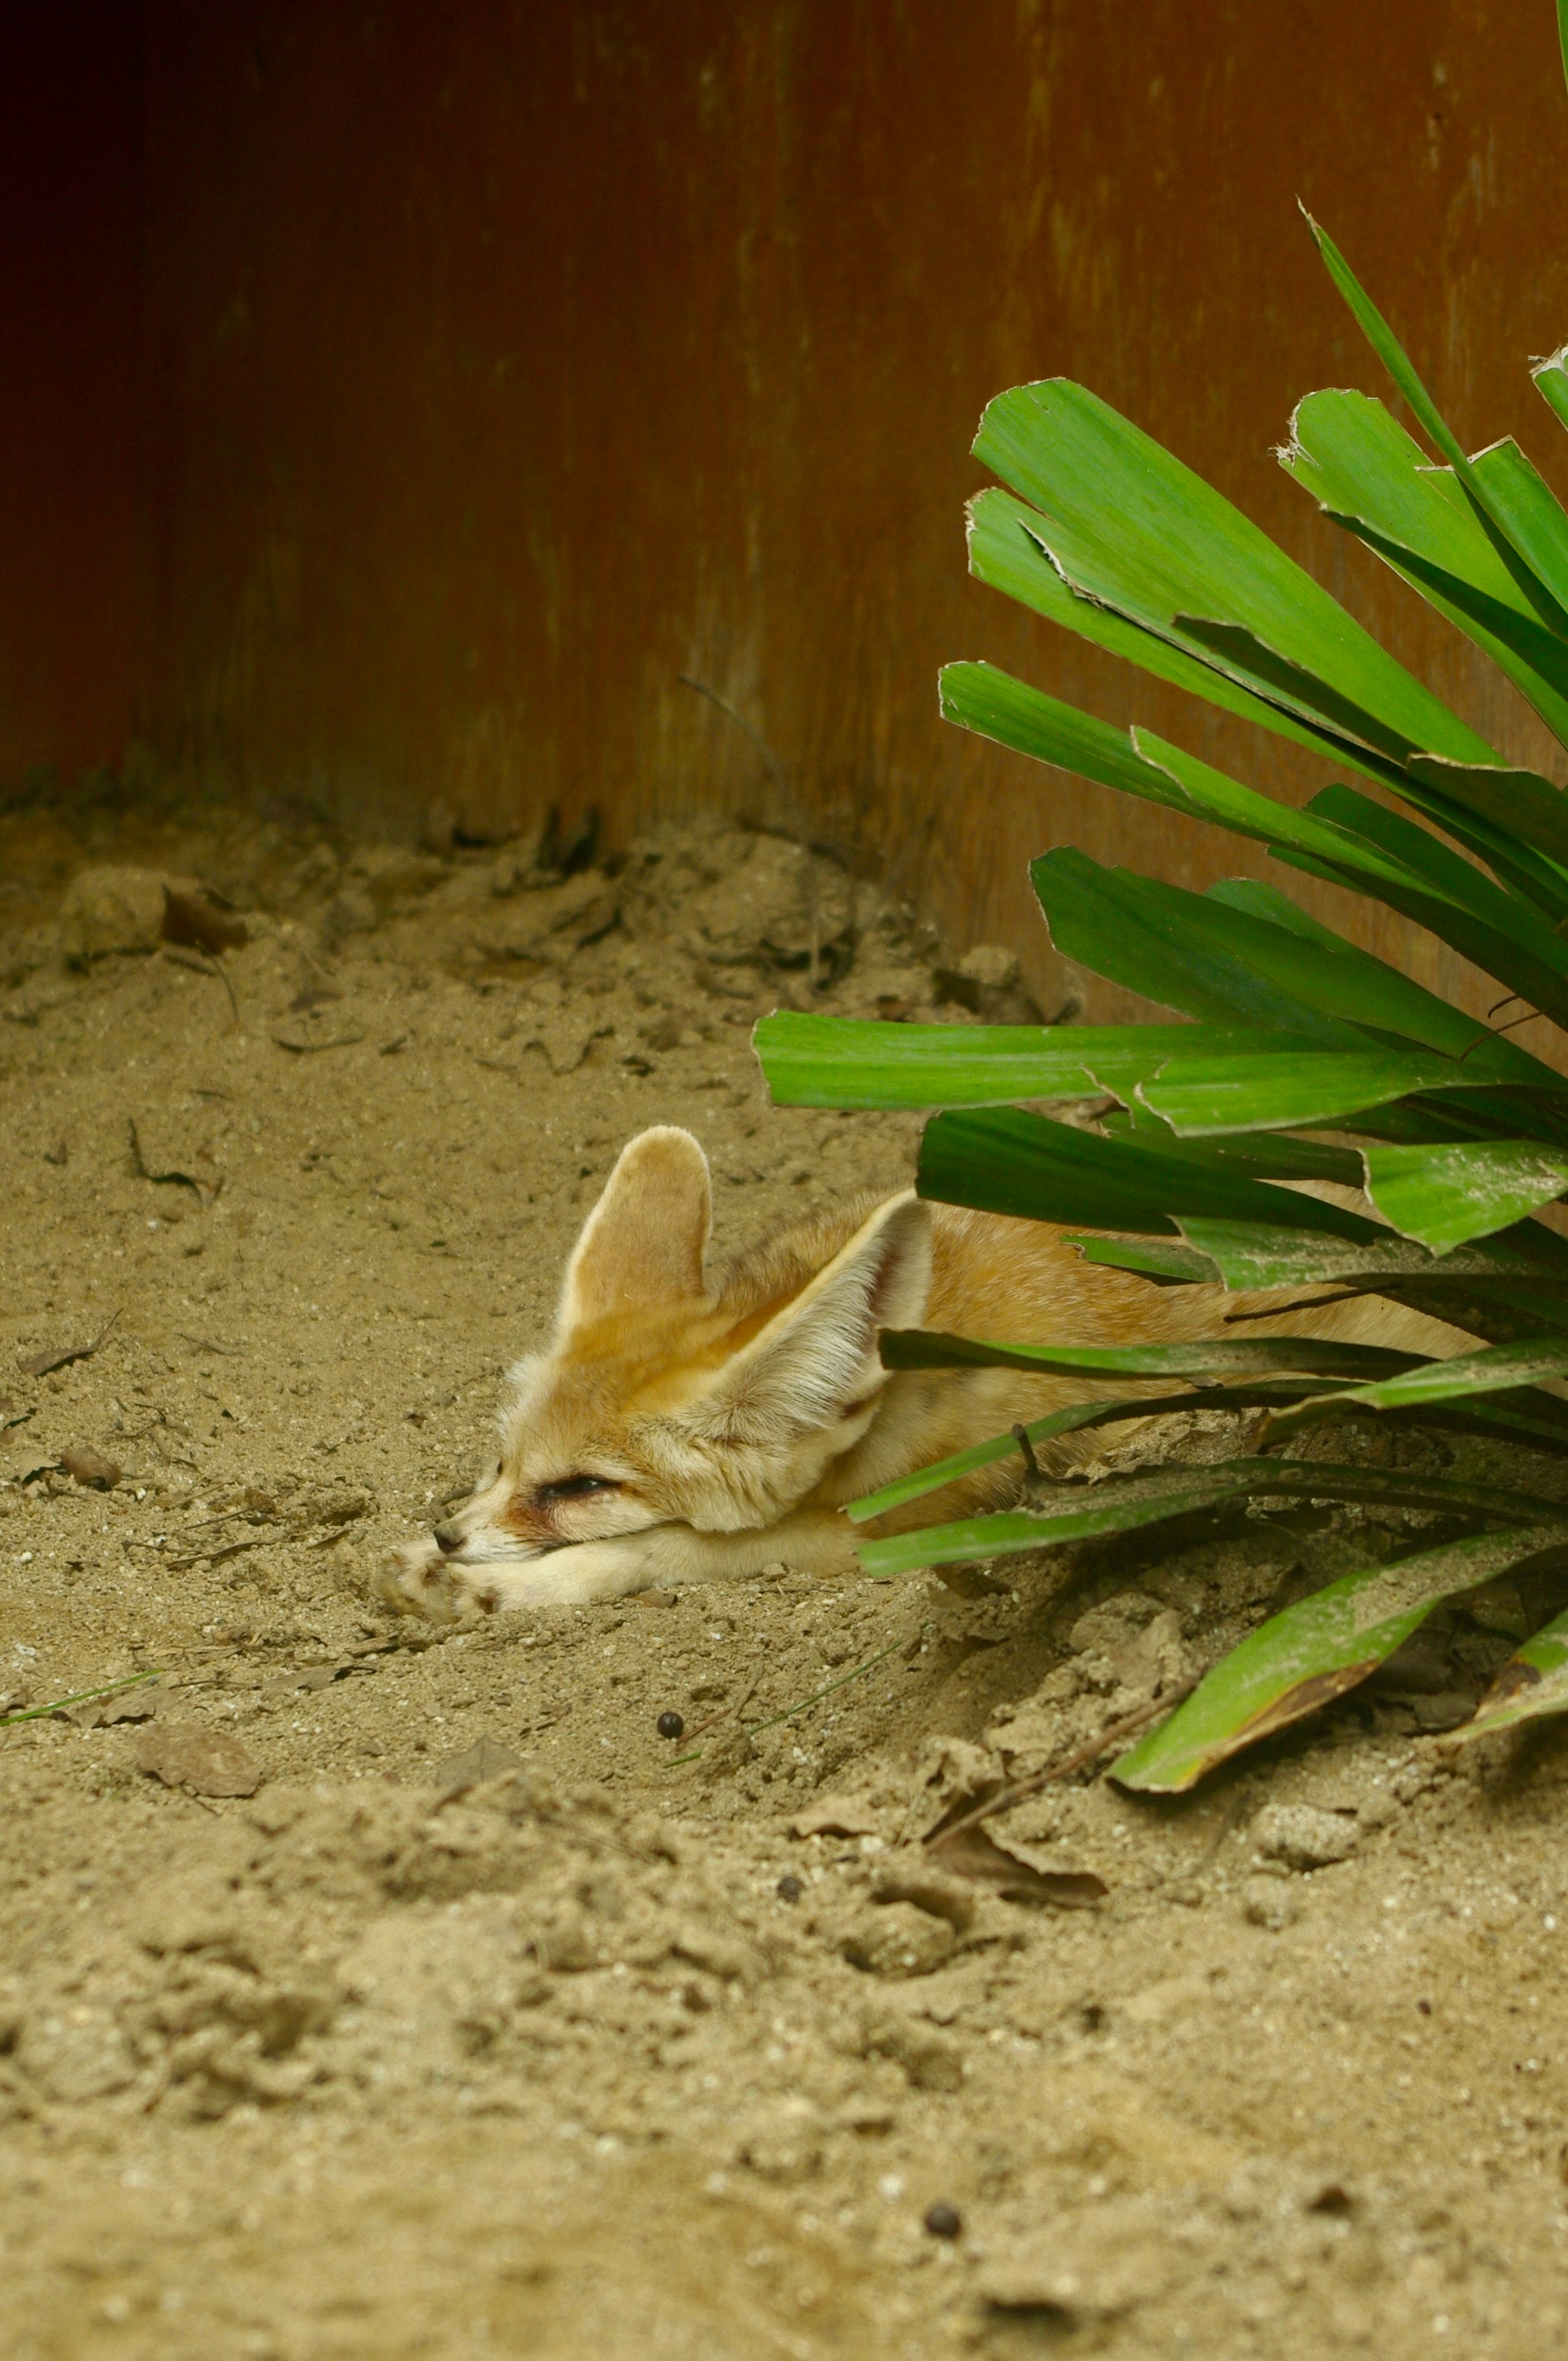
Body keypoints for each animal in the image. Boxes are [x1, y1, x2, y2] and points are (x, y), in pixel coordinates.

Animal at [386, 1123, 1469, 1621]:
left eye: (581, 1488)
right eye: (502, 1459)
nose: (447, 1530)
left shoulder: (921, 1517)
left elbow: (681, 1548)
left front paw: (504, 1583)